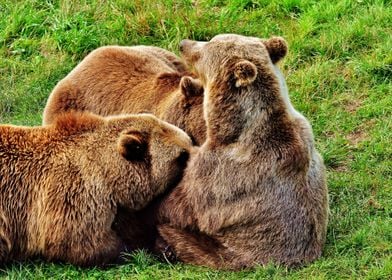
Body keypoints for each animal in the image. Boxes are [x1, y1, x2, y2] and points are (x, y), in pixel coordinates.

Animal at [0, 110, 193, 266]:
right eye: (182, 155)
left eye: (189, 141)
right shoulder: (73, 194)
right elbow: (82, 242)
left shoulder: (118, 206)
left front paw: (165, 248)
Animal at [155, 35, 328, 270]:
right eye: (210, 39)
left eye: (206, 47)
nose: (184, 44)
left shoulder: (219, 174)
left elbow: (182, 205)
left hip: (226, 252)